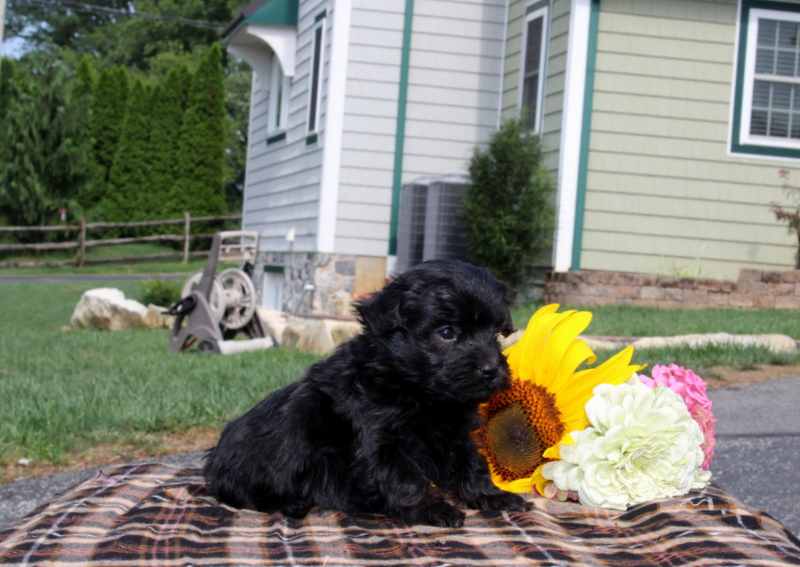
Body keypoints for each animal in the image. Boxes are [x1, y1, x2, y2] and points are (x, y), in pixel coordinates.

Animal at [205, 260, 532, 528]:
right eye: (447, 333)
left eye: (496, 335)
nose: (491, 369)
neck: (417, 392)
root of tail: (214, 465)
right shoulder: (379, 440)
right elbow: (405, 477)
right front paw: (431, 509)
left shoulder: (453, 435)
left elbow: (472, 464)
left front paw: (493, 496)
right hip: (300, 412)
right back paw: (298, 502)